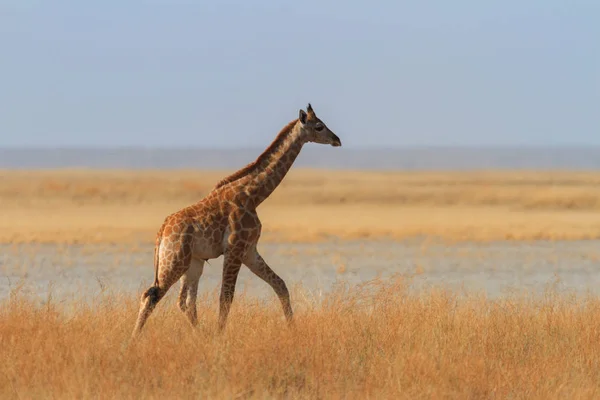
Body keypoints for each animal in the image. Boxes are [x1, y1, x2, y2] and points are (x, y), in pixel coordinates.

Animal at [132, 104, 342, 338]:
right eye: (319, 126)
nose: (337, 140)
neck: (254, 195)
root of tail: (161, 232)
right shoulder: (234, 249)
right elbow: (226, 297)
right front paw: (220, 336)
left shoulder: (249, 250)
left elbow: (280, 285)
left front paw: (292, 329)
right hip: (175, 260)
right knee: (151, 295)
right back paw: (133, 340)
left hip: (193, 262)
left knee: (185, 301)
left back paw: (199, 334)